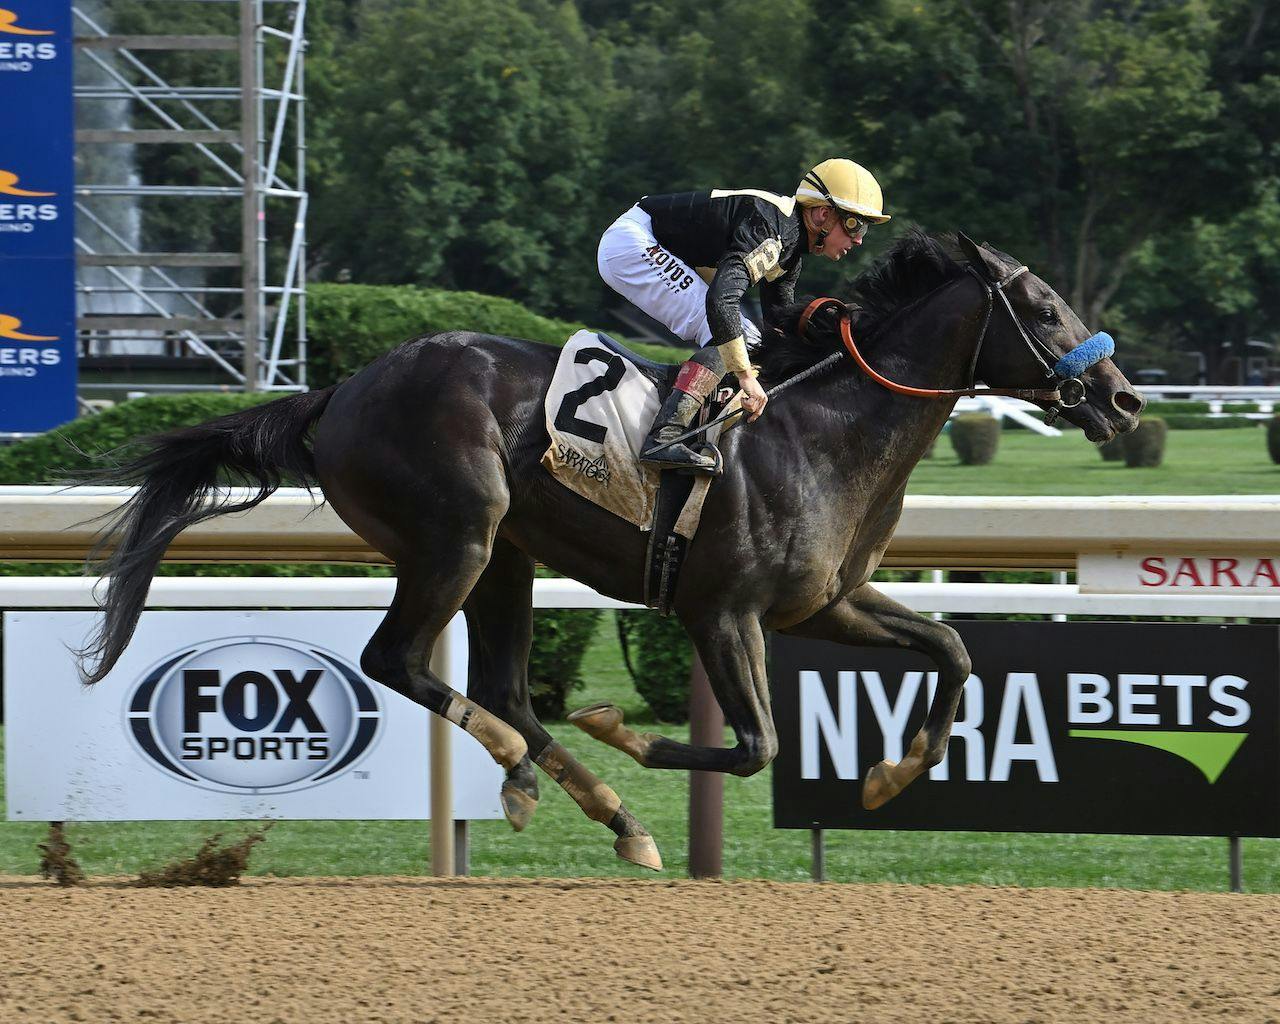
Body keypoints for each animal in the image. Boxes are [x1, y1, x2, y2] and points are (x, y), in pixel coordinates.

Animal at [80, 227, 1141, 870]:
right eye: (1046, 308)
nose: (1125, 400)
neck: (823, 433)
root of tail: (340, 391)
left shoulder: (827, 603)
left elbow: (953, 650)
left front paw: (890, 774)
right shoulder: (724, 612)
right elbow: (756, 746)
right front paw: (620, 726)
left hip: (505, 555)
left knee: (500, 685)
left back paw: (606, 815)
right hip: (457, 536)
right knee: (397, 660)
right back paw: (537, 770)